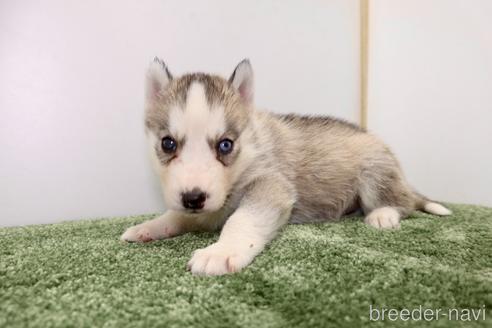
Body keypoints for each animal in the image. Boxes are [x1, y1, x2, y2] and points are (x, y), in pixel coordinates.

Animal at [121, 58, 452, 274]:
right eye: (168, 144)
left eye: (225, 145)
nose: (193, 197)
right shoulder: (205, 208)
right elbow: (177, 216)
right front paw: (148, 227)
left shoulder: (271, 185)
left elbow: (240, 220)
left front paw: (221, 252)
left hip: (374, 172)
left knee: (402, 202)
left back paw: (384, 214)